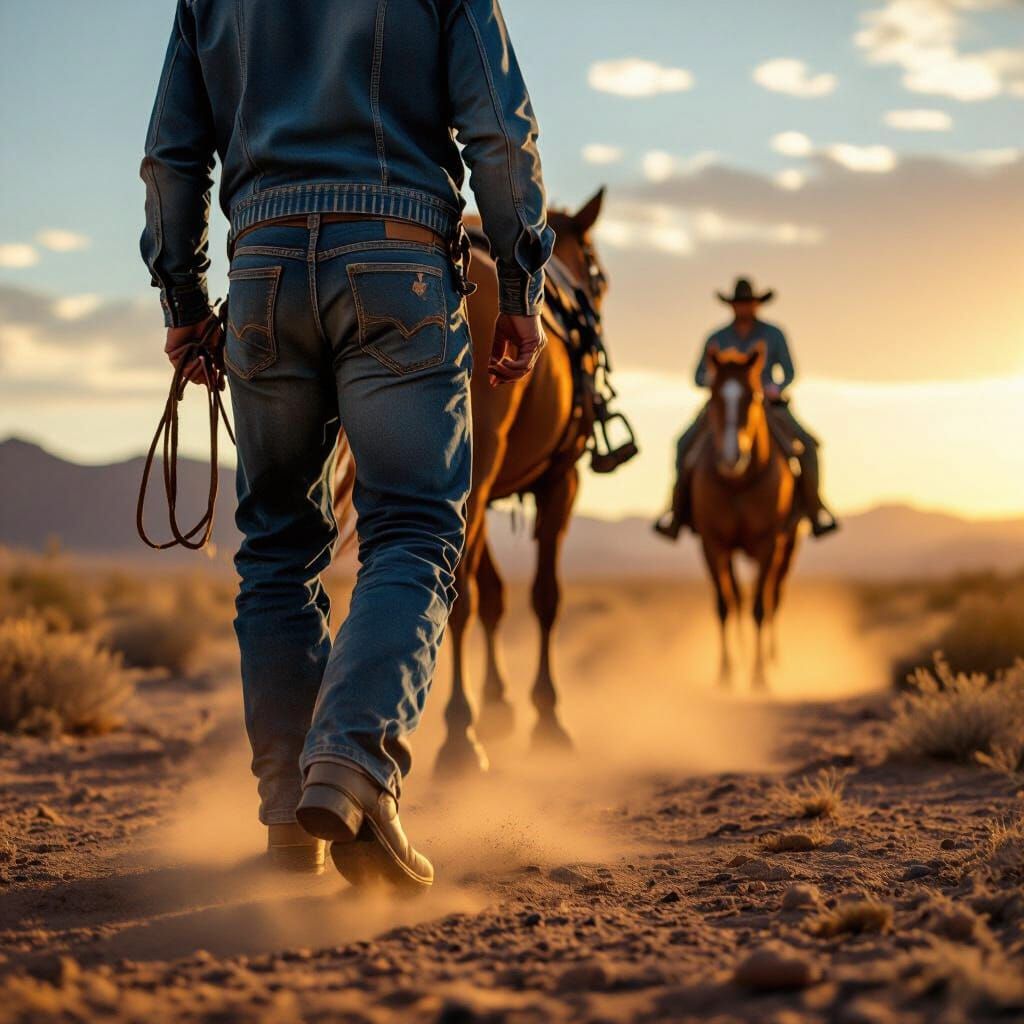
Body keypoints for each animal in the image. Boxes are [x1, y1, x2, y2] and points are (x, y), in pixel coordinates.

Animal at [691, 343, 800, 688]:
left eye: (753, 396)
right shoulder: (712, 544)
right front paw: (726, 673)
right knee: (737, 599)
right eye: (714, 395)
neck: (738, 482)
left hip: (789, 545)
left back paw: (773, 661)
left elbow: (760, 607)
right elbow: (726, 604)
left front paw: (760, 676)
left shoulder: (768, 543)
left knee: (774, 597)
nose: (732, 457)